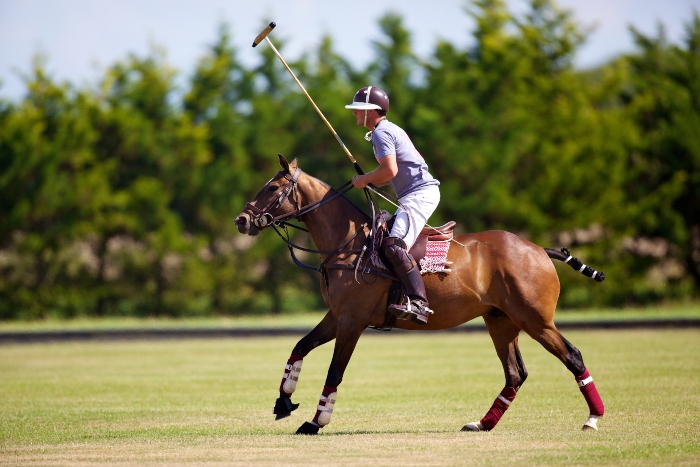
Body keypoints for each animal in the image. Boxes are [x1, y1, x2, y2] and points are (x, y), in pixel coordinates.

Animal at [237, 155, 608, 436]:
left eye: (272, 187)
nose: (242, 220)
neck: (346, 244)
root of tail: (540, 250)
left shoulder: (353, 320)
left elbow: (334, 372)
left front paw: (316, 422)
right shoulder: (337, 315)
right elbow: (300, 346)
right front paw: (284, 401)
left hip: (535, 319)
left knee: (573, 356)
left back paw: (593, 418)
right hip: (501, 320)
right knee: (515, 373)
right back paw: (483, 423)